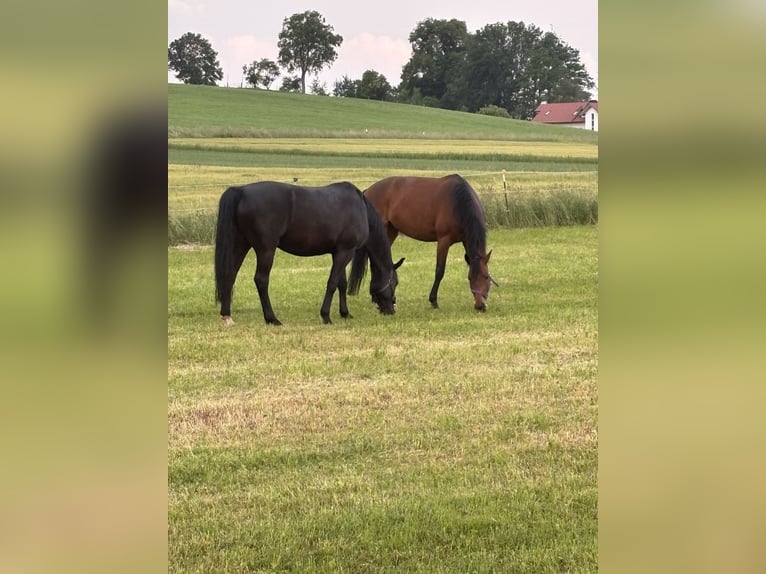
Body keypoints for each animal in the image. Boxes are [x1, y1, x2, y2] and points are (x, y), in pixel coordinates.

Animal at [214, 181, 404, 325]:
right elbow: (332, 283)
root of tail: (241, 191)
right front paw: (326, 316)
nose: (391, 310)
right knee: (261, 280)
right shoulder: (346, 251)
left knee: (230, 275)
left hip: (241, 245)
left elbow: (341, 283)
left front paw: (345, 313)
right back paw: (272, 318)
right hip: (266, 250)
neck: (360, 207)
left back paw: (227, 315)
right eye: (394, 283)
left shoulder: (339, 252)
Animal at [363, 174, 497, 311]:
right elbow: (439, 271)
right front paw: (434, 301)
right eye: (470, 277)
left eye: (486, 277)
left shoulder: (465, 239)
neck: (457, 201)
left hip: (391, 231)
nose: (480, 306)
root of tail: (367, 191)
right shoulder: (444, 240)